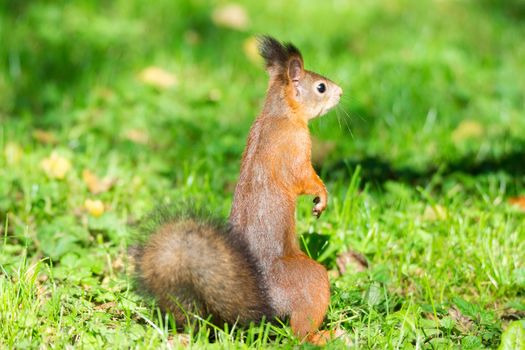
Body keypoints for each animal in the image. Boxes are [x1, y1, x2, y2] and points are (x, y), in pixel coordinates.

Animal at [133, 36, 342, 344]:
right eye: (320, 87)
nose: (341, 92)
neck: (280, 114)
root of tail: (258, 302)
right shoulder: (295, 150)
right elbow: (304, 178)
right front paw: (322, 195)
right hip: (310, 281)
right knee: (299, 332)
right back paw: (324, 335)